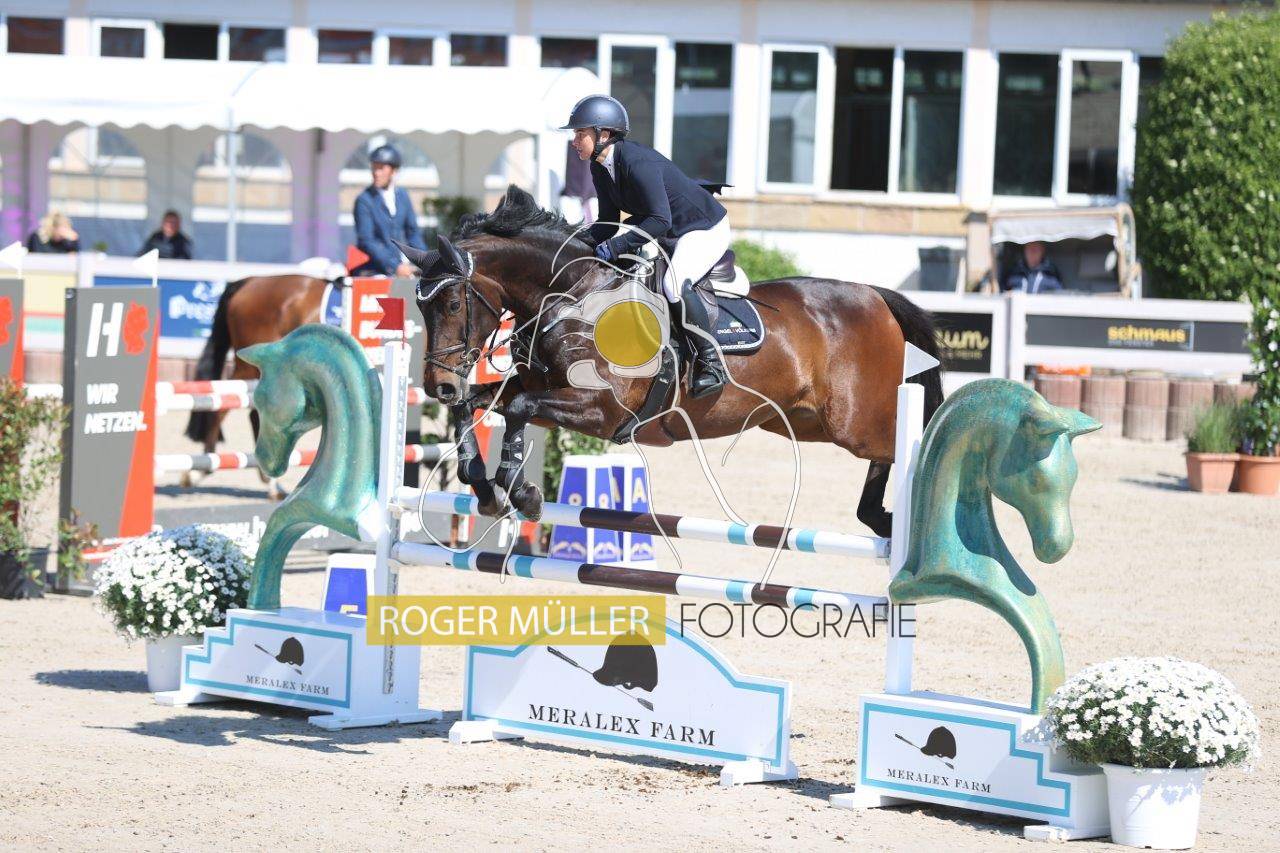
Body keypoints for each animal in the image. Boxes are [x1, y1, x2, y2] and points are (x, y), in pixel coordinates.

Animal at [405, 185, 944, 539]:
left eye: (451, 304)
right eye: (420, 307)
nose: (438, 386)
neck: (572, 296)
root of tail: (873, 294)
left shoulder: (604, 410)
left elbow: (515, 411)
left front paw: (521, 492)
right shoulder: (537, 387)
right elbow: (481, 407)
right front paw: (485, 485)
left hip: (853, 421)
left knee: (900, 444)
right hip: (803, 420)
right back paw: (878, 518)